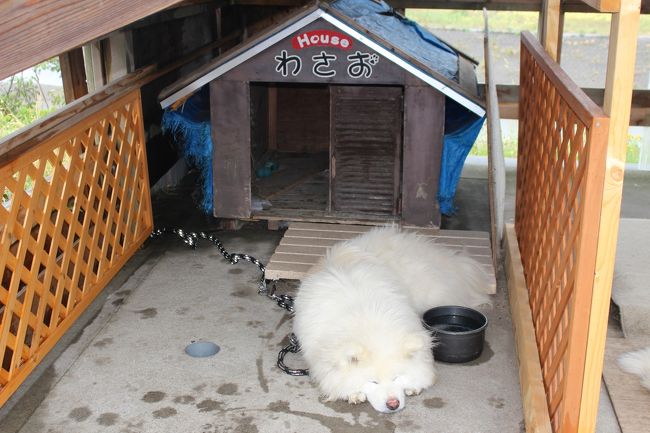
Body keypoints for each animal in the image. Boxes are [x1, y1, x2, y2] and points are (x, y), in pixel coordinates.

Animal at [292, 226, 488, 412]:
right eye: (373, 381)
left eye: (396, 378)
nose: (393, 404)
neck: (369, 321)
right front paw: (353, 393)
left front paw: (414, 385)